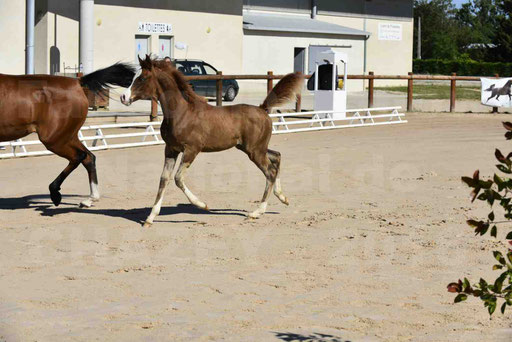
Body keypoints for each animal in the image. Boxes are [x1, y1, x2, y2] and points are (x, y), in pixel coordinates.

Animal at [0, 63, 135, 207]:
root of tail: (76, 82)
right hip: (68, 136)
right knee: (89, 157)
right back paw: (90, 199)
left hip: (54, 139)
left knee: (79, 156)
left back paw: (55, 193)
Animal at [121, 55, 304, 227]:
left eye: (142, 78)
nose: (124, 97)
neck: (181, 112)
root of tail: (262, 109)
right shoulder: (171, 149)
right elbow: (164, 179)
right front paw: (150, 218)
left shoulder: (192, 149)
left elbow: (178, 178)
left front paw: (202, 205)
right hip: (252, 148)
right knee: (277, 157)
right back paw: (282, 197)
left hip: (255, 151)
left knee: (270, 171)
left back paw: (256, 212)